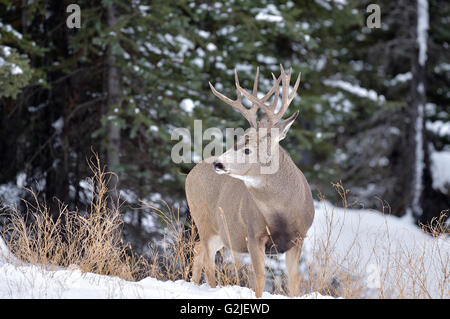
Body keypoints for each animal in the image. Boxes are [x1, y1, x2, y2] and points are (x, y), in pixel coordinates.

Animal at [185, 65, 314, 298]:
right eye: (236, 141)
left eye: (247, 149)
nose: (217, 163)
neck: (283, 212)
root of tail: (191, 173)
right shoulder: (253, 234)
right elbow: (260, 280)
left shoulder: (298, 238)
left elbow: (294, 284)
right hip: (203, 219)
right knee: (208, 261)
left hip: (219, 233)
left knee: (199, 250)